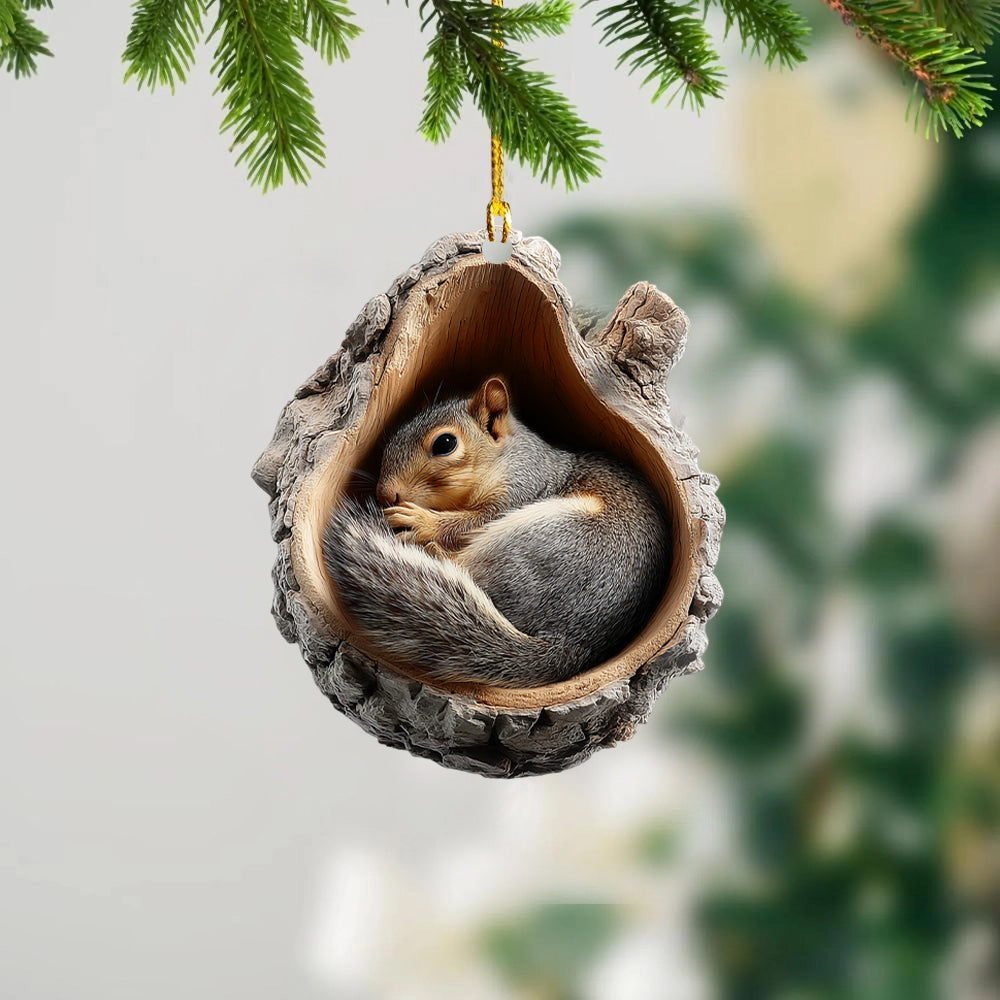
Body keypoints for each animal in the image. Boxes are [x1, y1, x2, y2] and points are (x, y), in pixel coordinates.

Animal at [323, 375, 670, 688]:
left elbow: (475, 520)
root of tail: (573, 642)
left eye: (445, 443)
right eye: (395, 433)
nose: (385, 494)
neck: (503, 459)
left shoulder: (524, 489)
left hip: (540, 539)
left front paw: (422, 521)